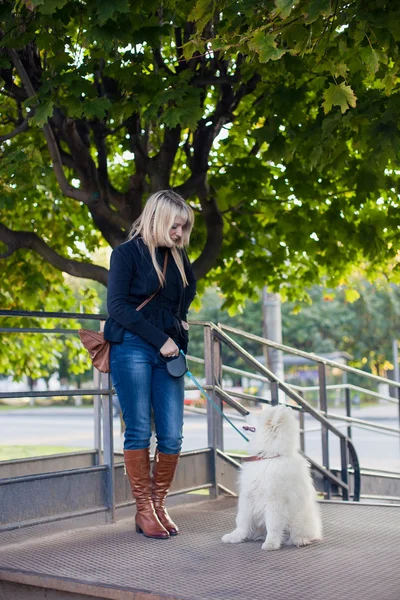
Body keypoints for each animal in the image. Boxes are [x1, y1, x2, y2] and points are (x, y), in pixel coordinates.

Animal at [222, 406, 322, 552]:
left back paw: (300, 540)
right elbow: (242, 520)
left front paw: (271, 543)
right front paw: (235, 537)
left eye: (259, 416)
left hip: (300, 519)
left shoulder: (274, 501)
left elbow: (273, 525)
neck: (268, 456)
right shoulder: (247, 496)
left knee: (303, 533)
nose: (246, 412)